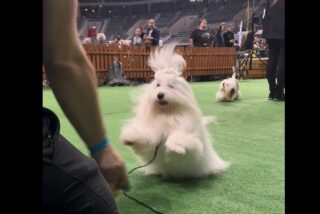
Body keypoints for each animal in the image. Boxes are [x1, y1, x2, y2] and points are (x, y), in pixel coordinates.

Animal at [120, 44, 230, 179]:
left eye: (171, 86)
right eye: (157, 85)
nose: (160, 95)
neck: (167, 114)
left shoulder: (188, 134)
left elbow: (180, 137)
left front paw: (174, 147)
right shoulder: (152, 134)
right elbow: (145, 136)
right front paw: (130, 138)